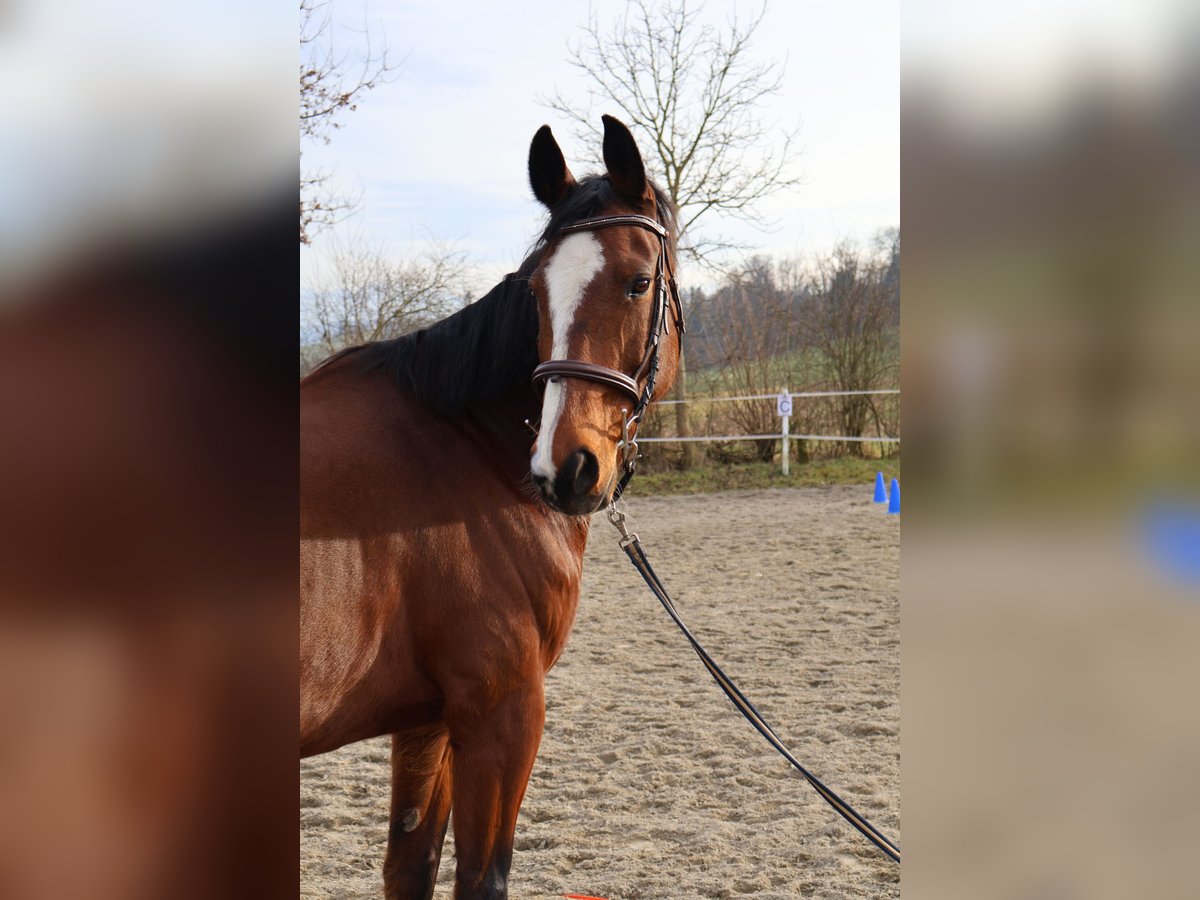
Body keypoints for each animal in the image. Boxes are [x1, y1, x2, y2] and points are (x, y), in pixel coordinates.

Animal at [300, 116, 686, 897]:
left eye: (638, 282)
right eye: (536, 292)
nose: (566, 469)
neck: (458, 444)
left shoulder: (429, 720)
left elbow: (409, 865)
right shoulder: (502, 711)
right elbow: (482, 878)